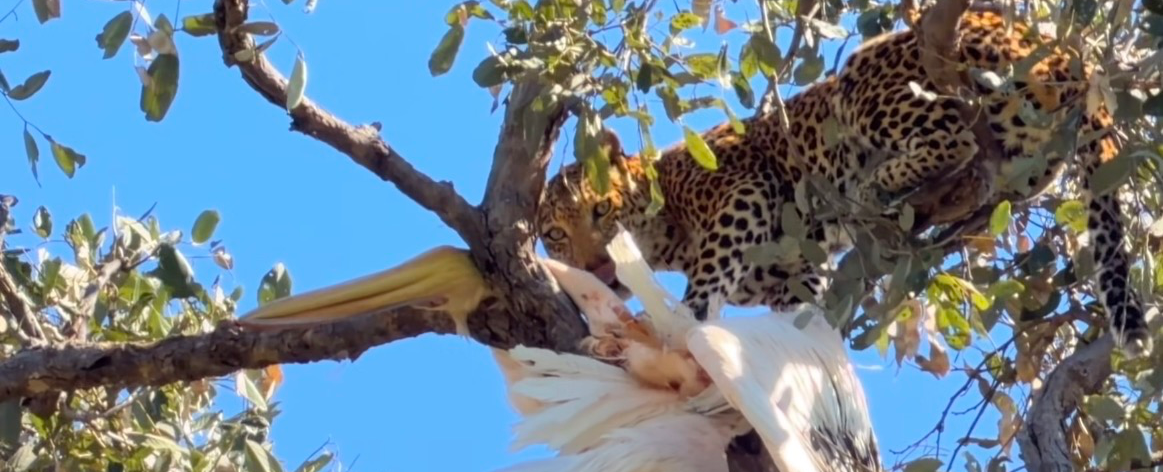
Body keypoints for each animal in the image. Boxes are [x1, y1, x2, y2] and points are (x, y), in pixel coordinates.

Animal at [536, 8, 1151, 356]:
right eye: (557, 237)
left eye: (601, 211)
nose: (597, 268)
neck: (666, 238)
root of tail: (1062, 52)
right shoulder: (788, 273)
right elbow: (797, 301)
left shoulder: (743, 189)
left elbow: (710, 274)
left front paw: (682, 320)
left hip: (869, 78)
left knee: (954, 135)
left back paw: (871, 188)